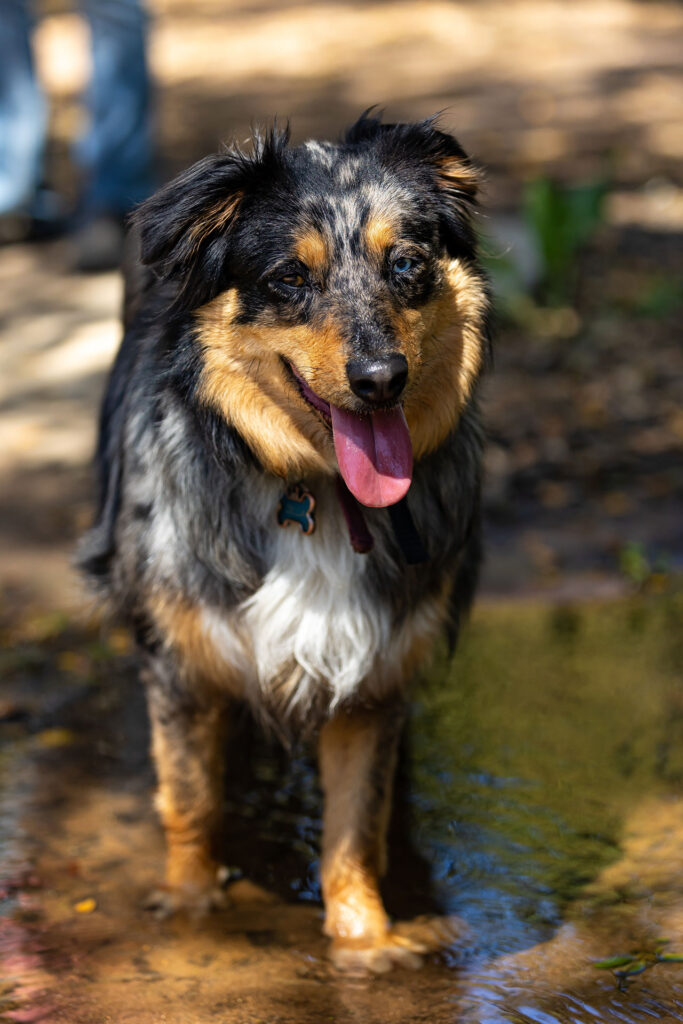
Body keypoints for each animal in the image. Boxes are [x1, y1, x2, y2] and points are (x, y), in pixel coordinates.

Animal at [77, 116, 489, 970]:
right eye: (290, 280)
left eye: (407, 265)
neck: (318, 493)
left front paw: (365, 941)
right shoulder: (180, 655)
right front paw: (191, 907)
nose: (381, 379)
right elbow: (192, 797)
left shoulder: (373, 671)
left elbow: (355, 825)